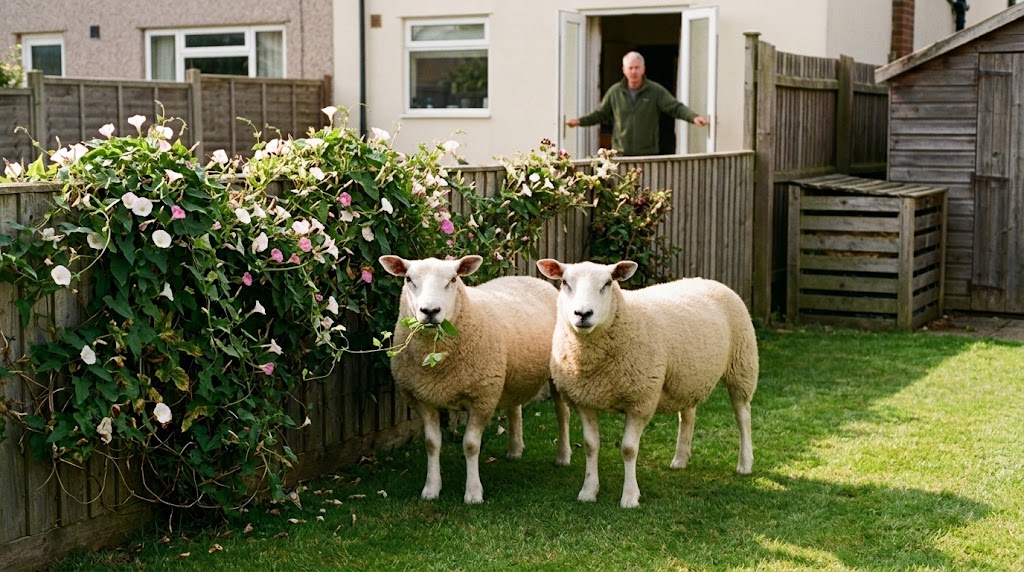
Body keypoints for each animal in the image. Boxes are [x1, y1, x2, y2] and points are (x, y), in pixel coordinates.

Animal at [379, 254, 572, 504]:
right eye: (409, 279)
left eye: (453, 279)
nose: (430, 311)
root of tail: (531, 278)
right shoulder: (423, 399)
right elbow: (432, 444)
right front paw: (431, 489)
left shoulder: (482, 397)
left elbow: (470, 445)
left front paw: (473, 493)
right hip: (510, 373)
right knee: (514, 409)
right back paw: (515, 450)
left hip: (556, 371)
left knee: (562, 413)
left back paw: (563, 456)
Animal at [536, 258, 758, 508]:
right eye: (565, 282)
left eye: (607, 283)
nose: (583, 313)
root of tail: (708, 280)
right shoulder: (585, 400)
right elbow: (591, 446)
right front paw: (588, 491)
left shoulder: (640, 400)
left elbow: (629, 449)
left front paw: (630, 497)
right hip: (687, 377)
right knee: (688, 416)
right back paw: (680, 459)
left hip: (742, 365)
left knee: (742, 415)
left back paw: (745, 464)